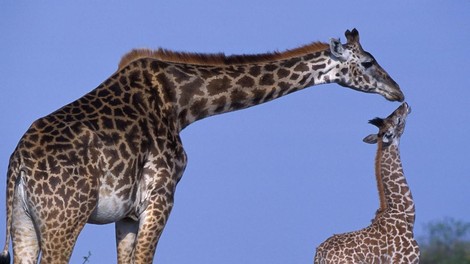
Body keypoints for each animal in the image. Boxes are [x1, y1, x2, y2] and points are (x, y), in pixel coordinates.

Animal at [1, 29, 402, 264]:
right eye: (368, 62)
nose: (397, 91)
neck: (183, 104)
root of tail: (18, 164)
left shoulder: (127, 213)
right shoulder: (162, 195)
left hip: (22, 223)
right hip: (64, 219)